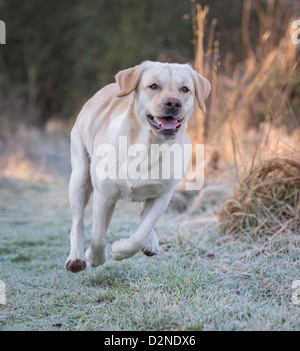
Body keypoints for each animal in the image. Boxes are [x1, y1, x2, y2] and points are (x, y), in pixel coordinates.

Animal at [65, 60, 211, 274]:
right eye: (153, 86)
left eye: (185, 89)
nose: (173, 103)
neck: (148, 146)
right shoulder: (104, 195)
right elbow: (98, 234)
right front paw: (94, 257)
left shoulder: (163, 195)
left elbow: (141, 232)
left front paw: (120, 250)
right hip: (80, 177)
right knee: (77, 222)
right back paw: (76, 257)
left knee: (143, 218)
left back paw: (150, 243)